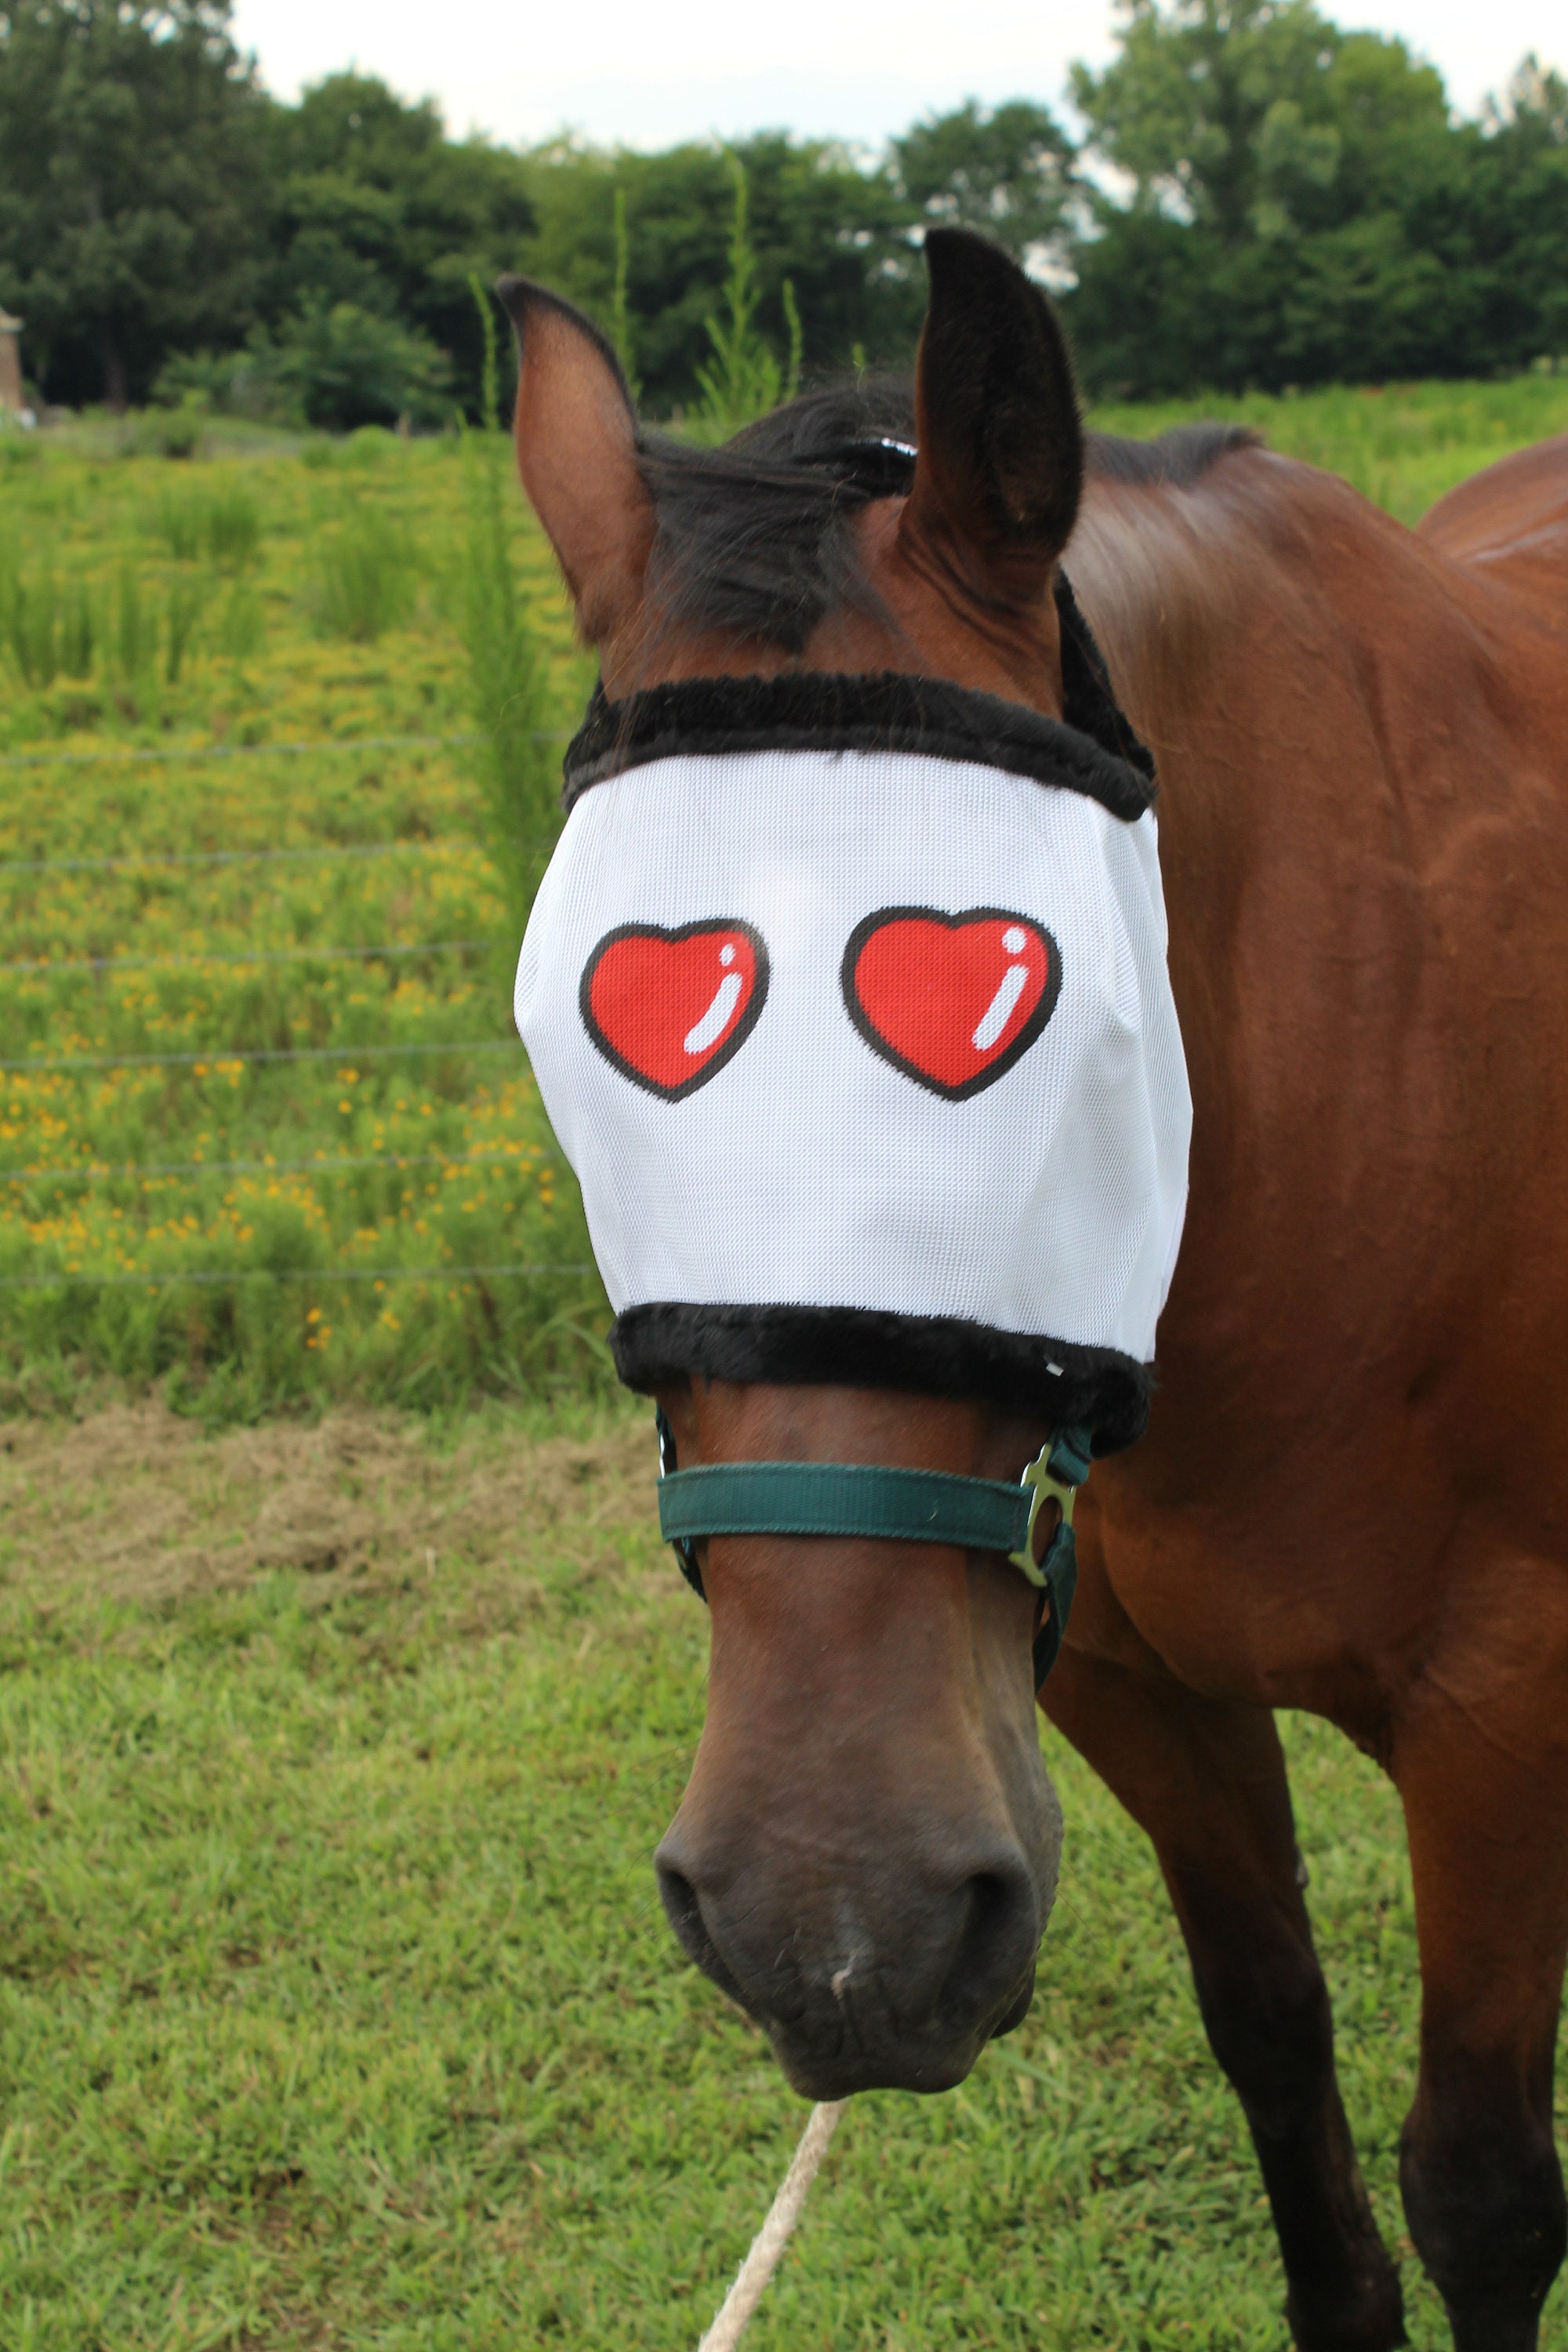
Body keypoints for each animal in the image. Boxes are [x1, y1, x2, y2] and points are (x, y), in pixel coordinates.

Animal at [498, 231, 1568, 2352]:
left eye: (1031, 1022)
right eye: (576, 1045)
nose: (830, 1915)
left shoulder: (1506, 1704)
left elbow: (1482, 2192)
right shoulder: (1121, 1683)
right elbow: (1278, 2055)